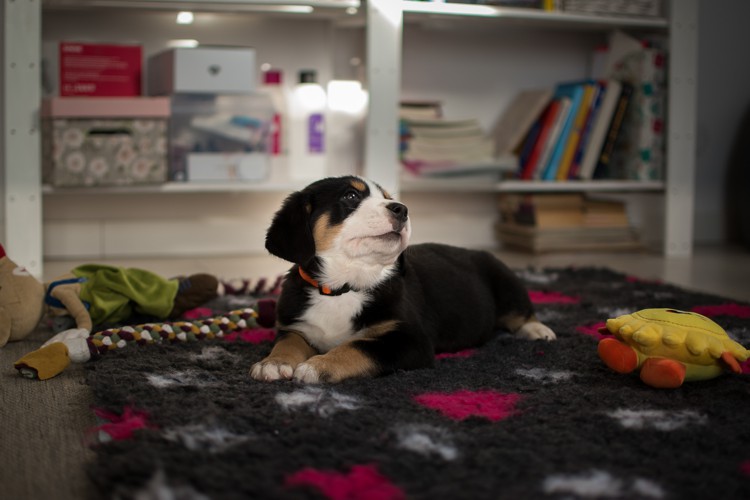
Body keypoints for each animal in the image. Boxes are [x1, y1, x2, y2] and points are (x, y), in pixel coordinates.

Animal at [251, 176, 555, 384]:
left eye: (387, 197)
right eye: (350, 196)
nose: (401, 209)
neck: (343, 287)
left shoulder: (410, 339)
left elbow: (357, 347)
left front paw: (318, 366)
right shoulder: (293, 326)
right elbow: (288, 342)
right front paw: (273, 363)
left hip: (505, 281)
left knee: (520, 312)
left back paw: (538, 330)